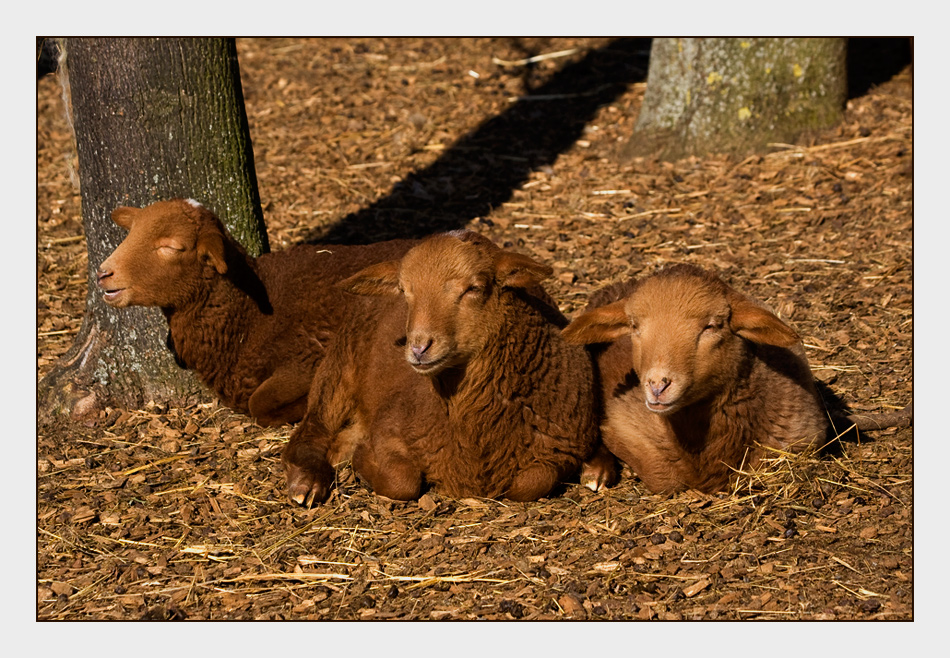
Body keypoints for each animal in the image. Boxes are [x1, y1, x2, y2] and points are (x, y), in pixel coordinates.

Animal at [96, 197, 416, 422]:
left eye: (172, 247)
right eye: (131, 233)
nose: (103, 273)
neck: (248, 320)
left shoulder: (307, 356)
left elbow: (260, 402)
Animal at [278, 228, 620, 504]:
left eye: (474, 288)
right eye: (404, 291)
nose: (418, 347)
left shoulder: (561, 444)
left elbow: (529, 482)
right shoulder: (388, 429)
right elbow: (402, 482)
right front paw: (361, 461)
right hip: (341, 366)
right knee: (313, 428)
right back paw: (307, 482)